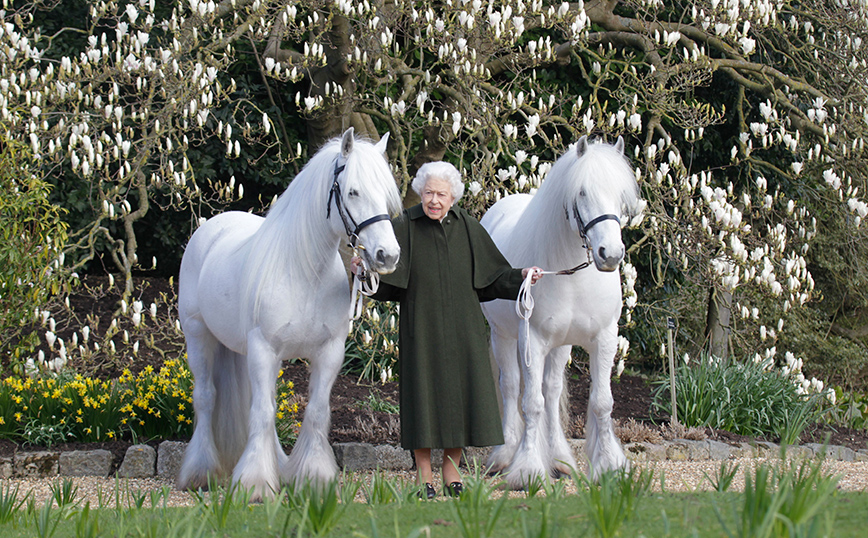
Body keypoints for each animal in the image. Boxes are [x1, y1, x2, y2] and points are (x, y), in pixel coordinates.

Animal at [177, 126, 406, 498]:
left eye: (387, 194)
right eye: (353, 191)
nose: (387, 256)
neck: (303, 272)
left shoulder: (328, 352)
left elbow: (314, 411)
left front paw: (313, 477)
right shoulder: (263, 349)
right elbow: (262, 412)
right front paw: (255, 483)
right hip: (199, 337)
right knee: (207, 398)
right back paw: (201, 472)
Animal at [482, 134, 644, 486]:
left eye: (620, 195)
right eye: (582, 192)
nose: (610, 254)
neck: (573, 274)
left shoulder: (604, 339)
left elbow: (600, 402)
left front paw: (609, 465)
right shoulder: (532, 340)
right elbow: (531, 403)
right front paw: (527, 469)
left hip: (561, 345)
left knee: (552, 390)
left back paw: (559, 459)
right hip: (503, 337)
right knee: (511, 386)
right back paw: (505, 455)